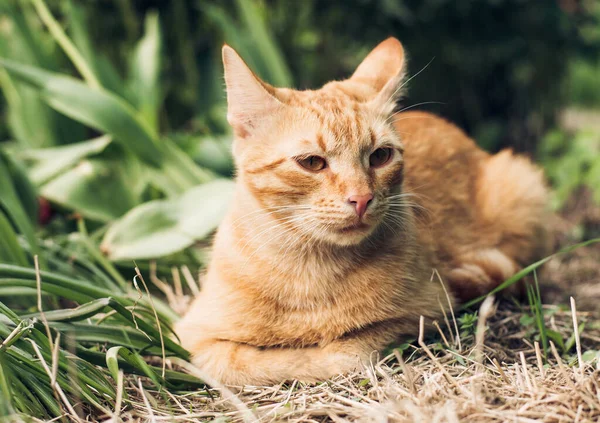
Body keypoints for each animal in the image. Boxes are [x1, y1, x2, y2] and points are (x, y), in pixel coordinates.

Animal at [177, 38, 548, 386]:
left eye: (380, 156)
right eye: (311, 162)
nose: (361, 198)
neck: (309, 271)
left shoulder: (423, 311)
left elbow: (349, 351)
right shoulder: (194, 340)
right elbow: (251, 362)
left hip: (520, 185)